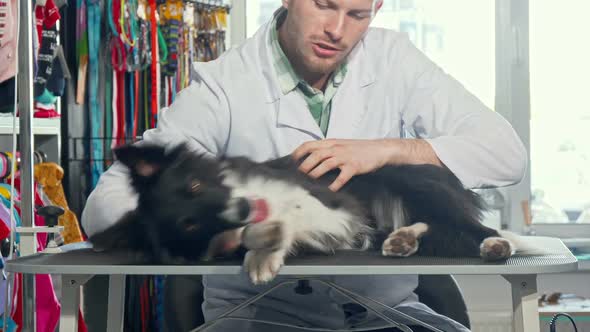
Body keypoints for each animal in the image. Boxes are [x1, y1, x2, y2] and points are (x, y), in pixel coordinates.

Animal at [90, 141, 540, 284]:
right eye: (191, 226)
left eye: (195, 186)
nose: (244, 209)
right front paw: (262, 250)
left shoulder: (332, 203)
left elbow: (292, 213)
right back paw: (402, 240)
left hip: (415, 182)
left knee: (465, 225)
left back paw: (496, 243)